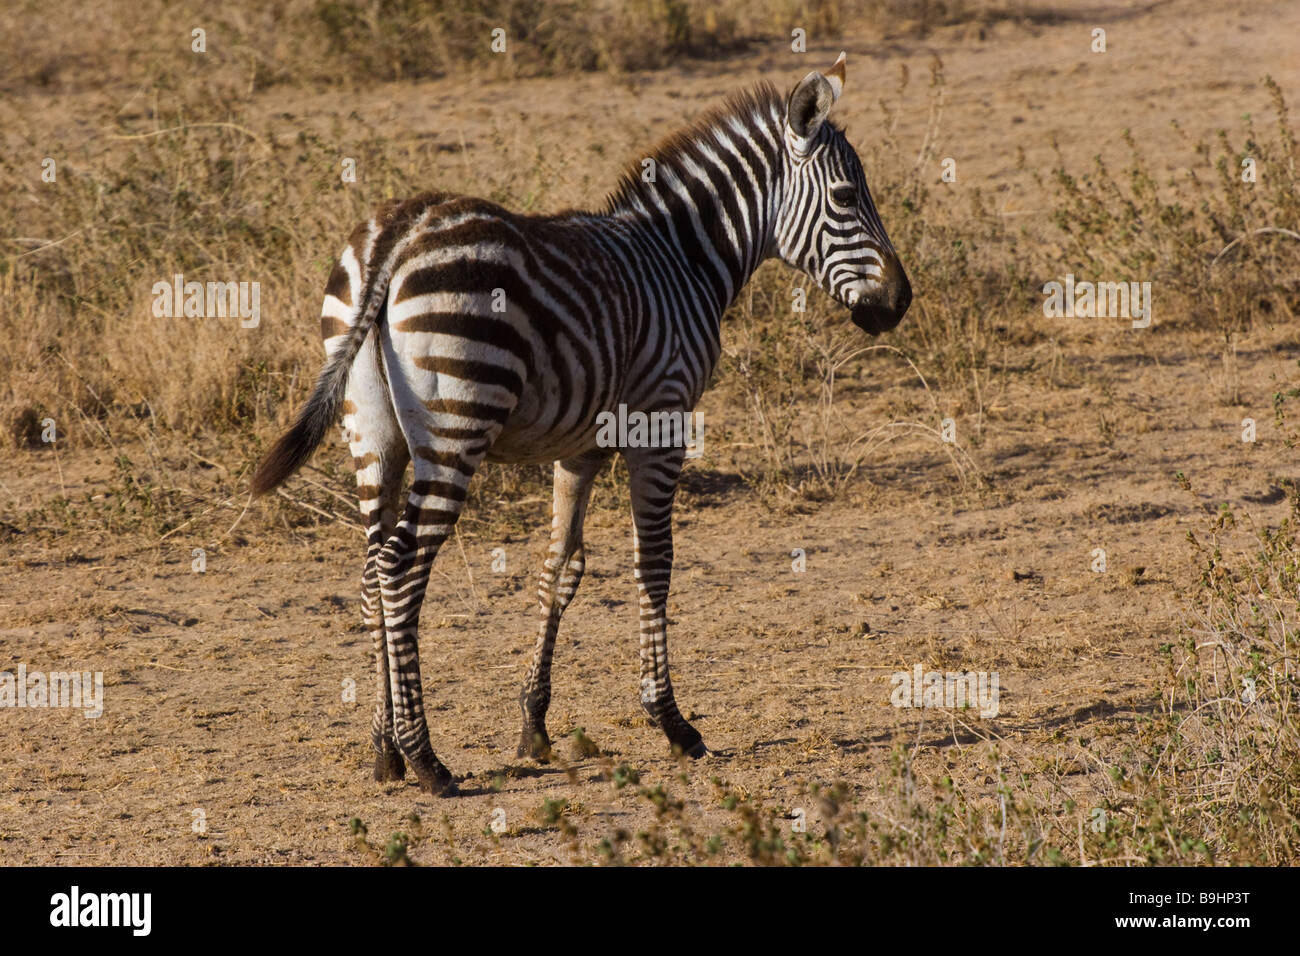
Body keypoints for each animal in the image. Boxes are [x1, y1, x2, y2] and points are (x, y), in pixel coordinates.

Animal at [248, 54, 909, 801]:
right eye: (848, 197)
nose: (900, 303)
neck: (683, 259)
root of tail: (399, 230)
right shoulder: (661, 420)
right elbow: (654, 564)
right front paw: (671, 721)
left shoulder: (583, 448)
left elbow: (559, 568)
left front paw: (533, 726)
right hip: (454, 428)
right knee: (400, 568)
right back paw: (426, 759)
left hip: (371, 433)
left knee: (370, 570)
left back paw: (385, 749)